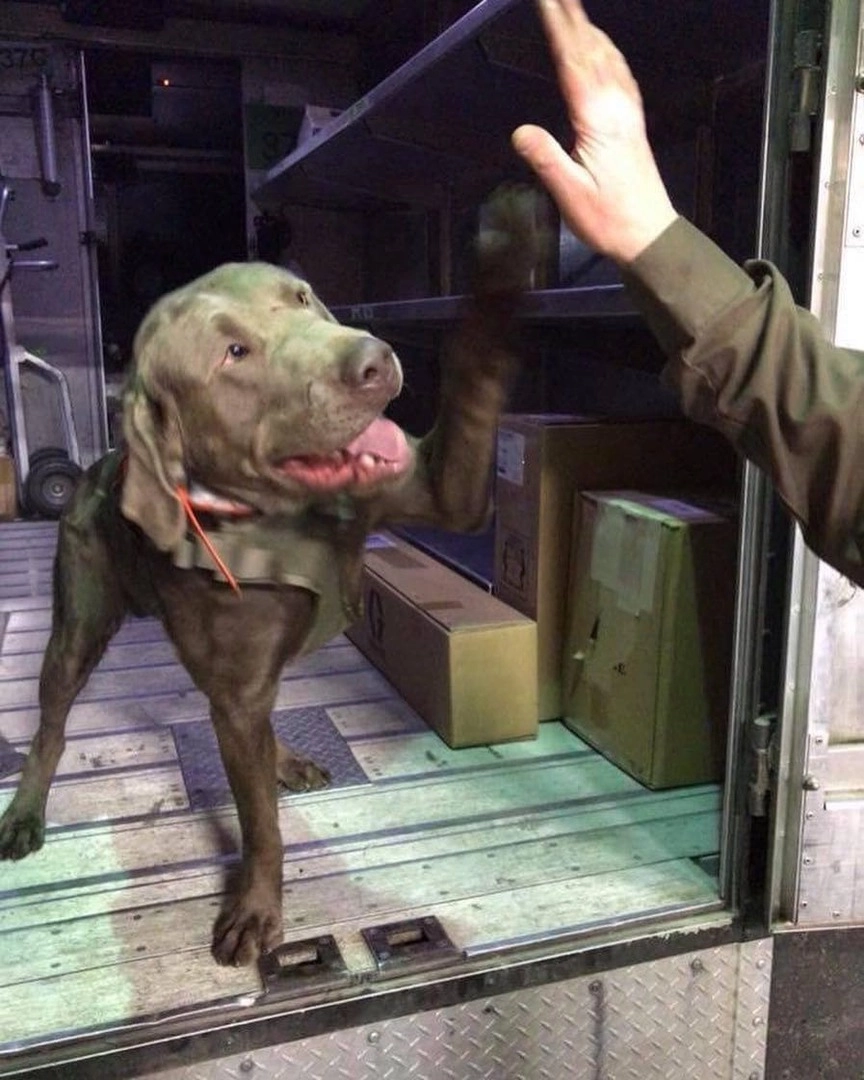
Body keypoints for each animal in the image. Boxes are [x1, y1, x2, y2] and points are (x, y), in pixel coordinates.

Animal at [0, 186, 541, 966]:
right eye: (234, 352)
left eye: (303, 297)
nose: (373, 361)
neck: (282, 515)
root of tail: (96, 469)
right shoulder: (234, 688)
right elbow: (259, 823)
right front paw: (256, 908)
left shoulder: (447, 491)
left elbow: (475, 371)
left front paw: (506, 251)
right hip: (78, 626)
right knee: (52, 724)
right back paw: (25, 811)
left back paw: (284, 757)